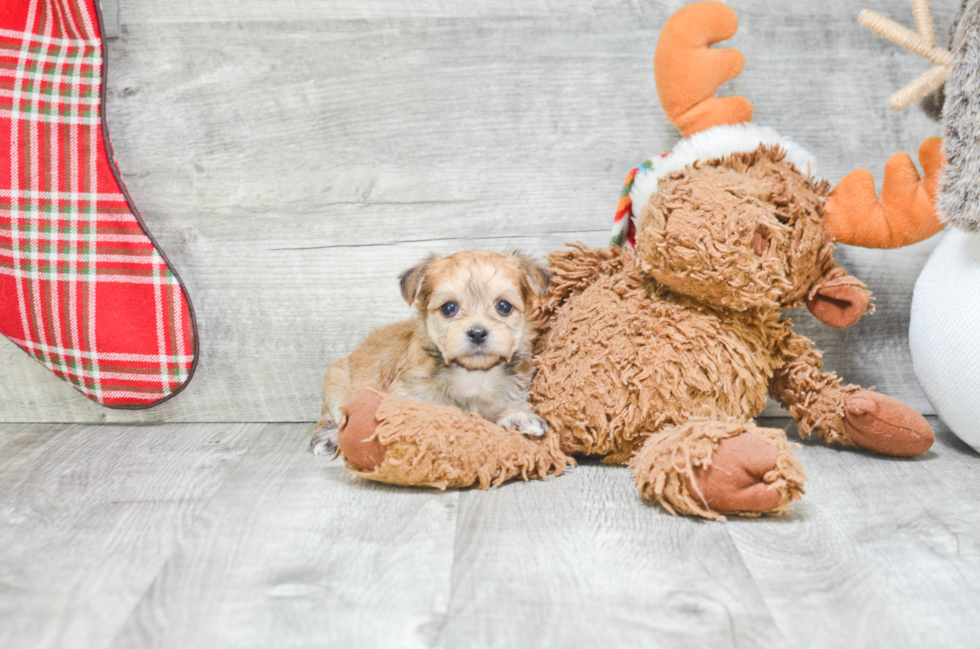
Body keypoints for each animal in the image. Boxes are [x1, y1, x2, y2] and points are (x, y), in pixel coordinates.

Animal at [310, 249, 552, 456]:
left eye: (504, 306)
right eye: (449, 308)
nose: (477, 333)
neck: (472, 374)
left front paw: (521, 418)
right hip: (337, 382)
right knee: (332, 416)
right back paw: (329, 437)